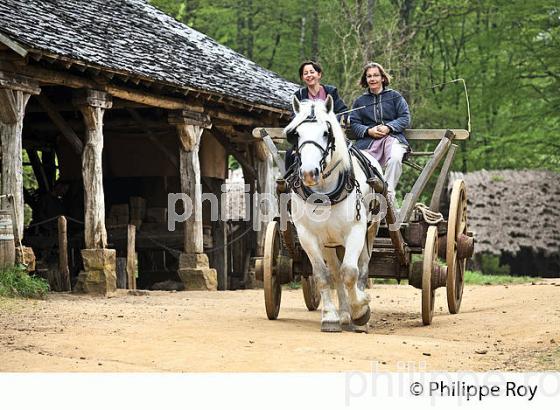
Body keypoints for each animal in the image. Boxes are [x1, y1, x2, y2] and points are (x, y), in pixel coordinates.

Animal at [284, 97, 384, 334]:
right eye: (296, 134)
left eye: (325, 133)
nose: (309, 173)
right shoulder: (307, 236)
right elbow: (323, 276)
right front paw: (331, 317)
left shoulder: (356, 231)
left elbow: (350, 272)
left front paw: (361, 310)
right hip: (330, 243)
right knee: (336, 272)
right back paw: (344, 314)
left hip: (371, 230)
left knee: (362, 268)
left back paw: (358, 317)